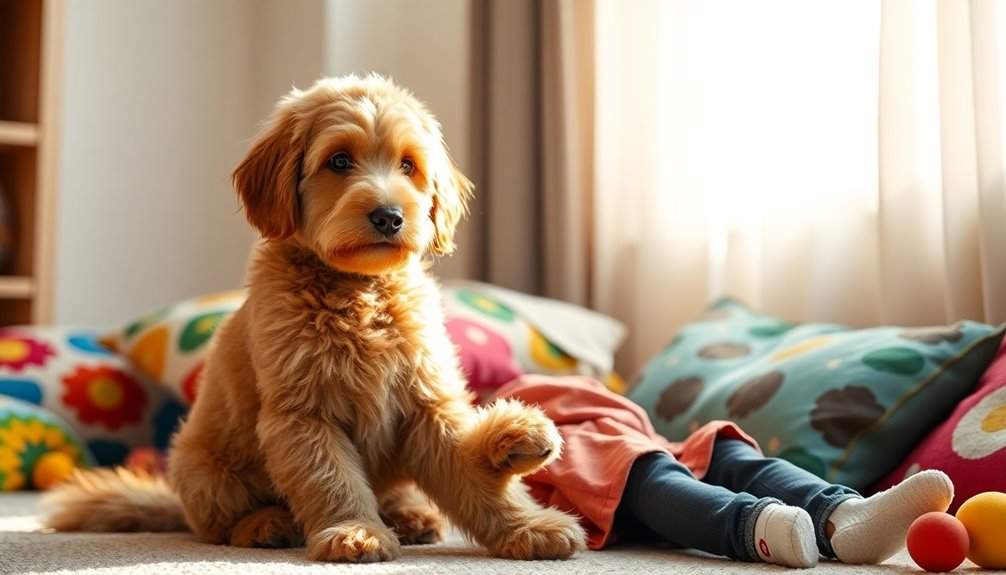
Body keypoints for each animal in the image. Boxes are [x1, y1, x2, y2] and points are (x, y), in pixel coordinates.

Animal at [43, 72, 587, 562]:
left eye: (408, 165)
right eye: (339, 161)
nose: (389, 216)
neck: (359, 292)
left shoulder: (426, 403)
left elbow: (475, 481)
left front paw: (525, 527)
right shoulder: (303, 413)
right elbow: (332, 479)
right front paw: (355, 531)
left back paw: (412, 514)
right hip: (203, 466)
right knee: (217, 523)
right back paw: (264, 524)